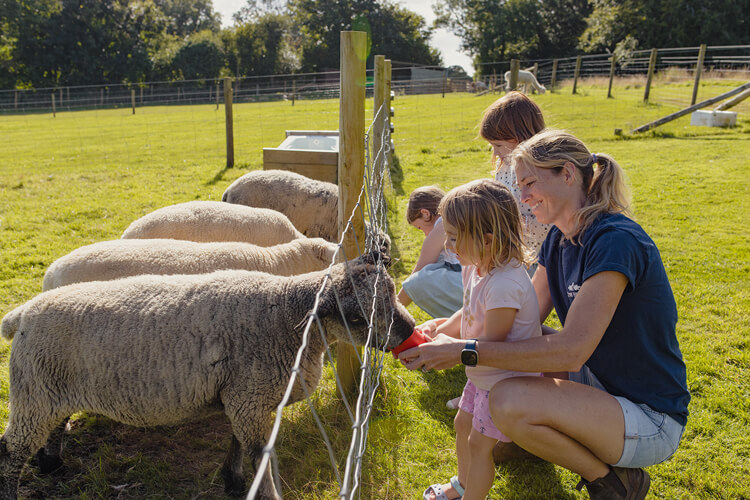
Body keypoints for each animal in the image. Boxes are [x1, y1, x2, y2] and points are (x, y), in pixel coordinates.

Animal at [0, 256, 418, 498]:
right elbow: (259, 457)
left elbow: (236, 441)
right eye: (357, 318)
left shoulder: (242, 396)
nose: (409, 331)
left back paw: (51, 463)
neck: (287, 318)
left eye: (392, 291)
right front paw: (256, 489)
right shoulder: (249, 397)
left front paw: (231, 480)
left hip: (48, 390)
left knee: (52, 427)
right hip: (33, 392)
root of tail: (22, 314)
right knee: (10, 451)